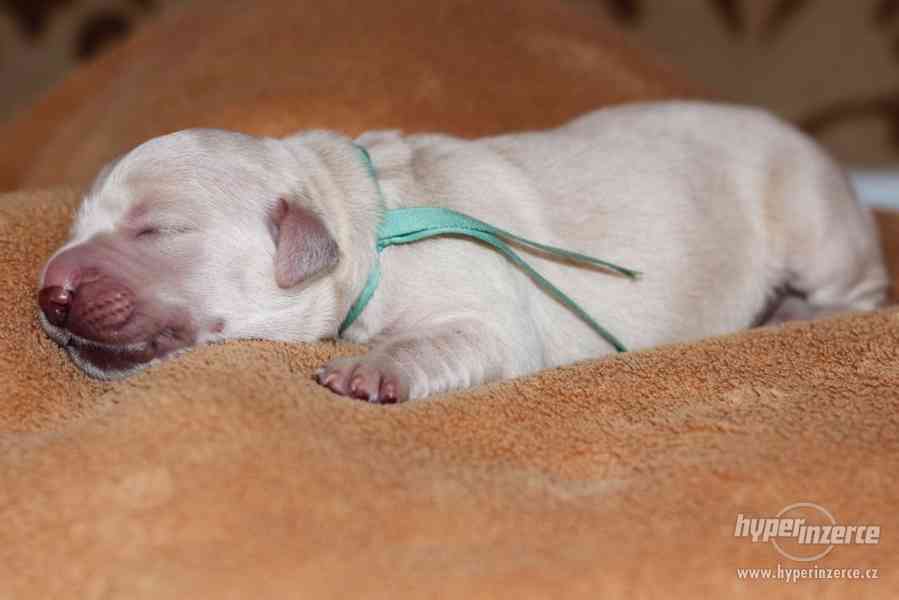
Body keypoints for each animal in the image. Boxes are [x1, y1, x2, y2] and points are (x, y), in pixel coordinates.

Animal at [38, 102, 888, 404]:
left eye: (157, 230)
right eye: (78, 227)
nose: (47, 293)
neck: (368, 217)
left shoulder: (487, 314)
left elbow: (444, 340)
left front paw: (370, 370)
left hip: (816, 226)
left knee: (861, 295)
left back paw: (791, 317)